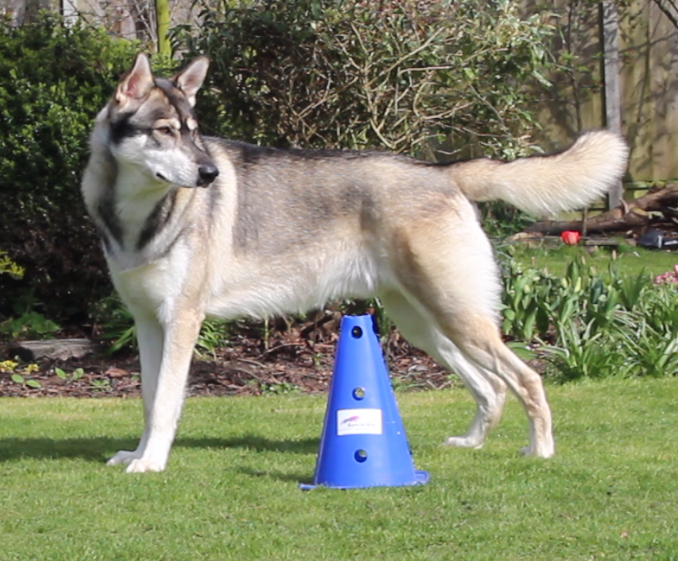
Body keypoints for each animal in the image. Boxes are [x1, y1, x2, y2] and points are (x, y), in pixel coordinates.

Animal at [82, 53, 628, 472]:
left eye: (194, 132)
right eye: (165, 131)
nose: (210, 173)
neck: (137, 217)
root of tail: (441, 170)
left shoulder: (183, 321)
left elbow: (165, 403)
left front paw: (152, 462)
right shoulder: (149, 323)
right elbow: (149, 399)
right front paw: (137, 453)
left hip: (457, 318)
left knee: (526, 379)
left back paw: (540, 450)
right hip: (425, 327)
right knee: (491, 388)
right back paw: (470, 444)